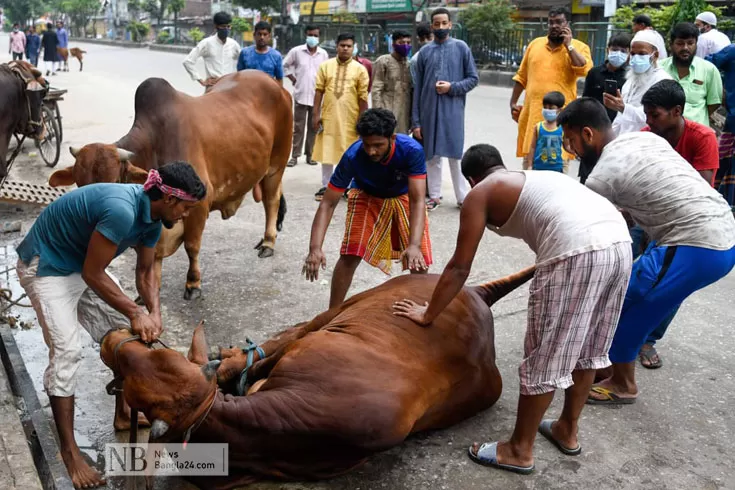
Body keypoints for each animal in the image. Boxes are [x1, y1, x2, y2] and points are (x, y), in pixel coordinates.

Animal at [47, 69, 294, 298]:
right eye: (79, 184)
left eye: (115, 181)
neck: (153, 146)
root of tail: (276, 84)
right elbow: (152, 256)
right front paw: (148, 291)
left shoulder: (199, 205)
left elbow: (192, 246)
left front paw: (193, 284)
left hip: (276, 164)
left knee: (271, 201)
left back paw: (268, 243)